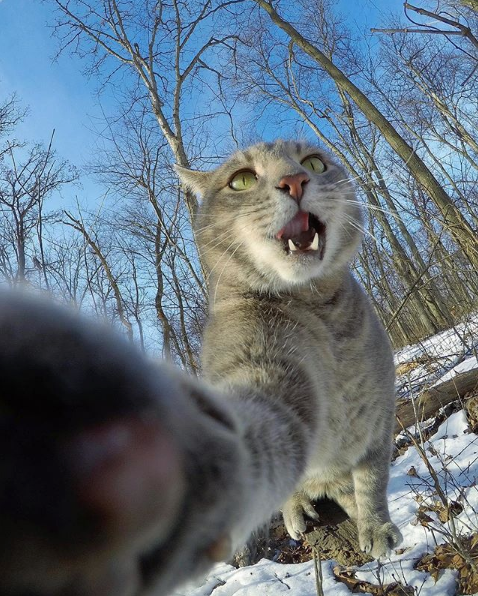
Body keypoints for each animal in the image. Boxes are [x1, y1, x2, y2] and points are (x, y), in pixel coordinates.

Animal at [0, 141, 402, 596]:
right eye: (242, 180)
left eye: (314, 162)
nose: (295, 180)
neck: (322, 311)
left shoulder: (380, 413)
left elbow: (373, 477)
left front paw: (377, 526)